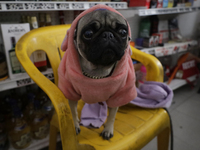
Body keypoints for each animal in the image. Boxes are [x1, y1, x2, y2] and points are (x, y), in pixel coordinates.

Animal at [67, 9, 130, 140]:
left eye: (123, 32)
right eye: (88, 33)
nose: (108, 35)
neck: (97, 71)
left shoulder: (117, 97)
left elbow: (112, 115)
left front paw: (108, 129)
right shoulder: (71, 94)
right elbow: (73, 112)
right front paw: (75, 125)